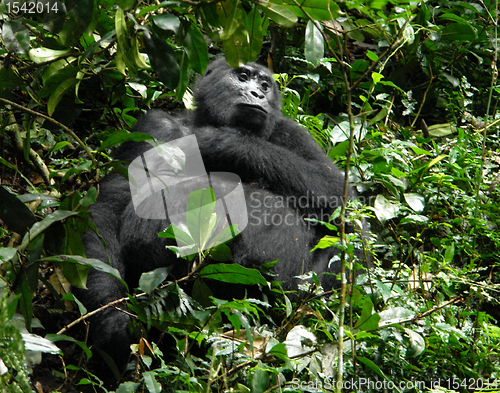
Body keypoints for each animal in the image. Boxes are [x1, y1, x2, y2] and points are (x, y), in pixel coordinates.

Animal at [73, 57, 360, 370]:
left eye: (265, 85)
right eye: (242, 76)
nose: (257, 94)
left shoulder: (292, 132)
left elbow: (345, 205)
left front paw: (226, 142)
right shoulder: (153, 124)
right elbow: (112, 203)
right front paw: (111, 320)